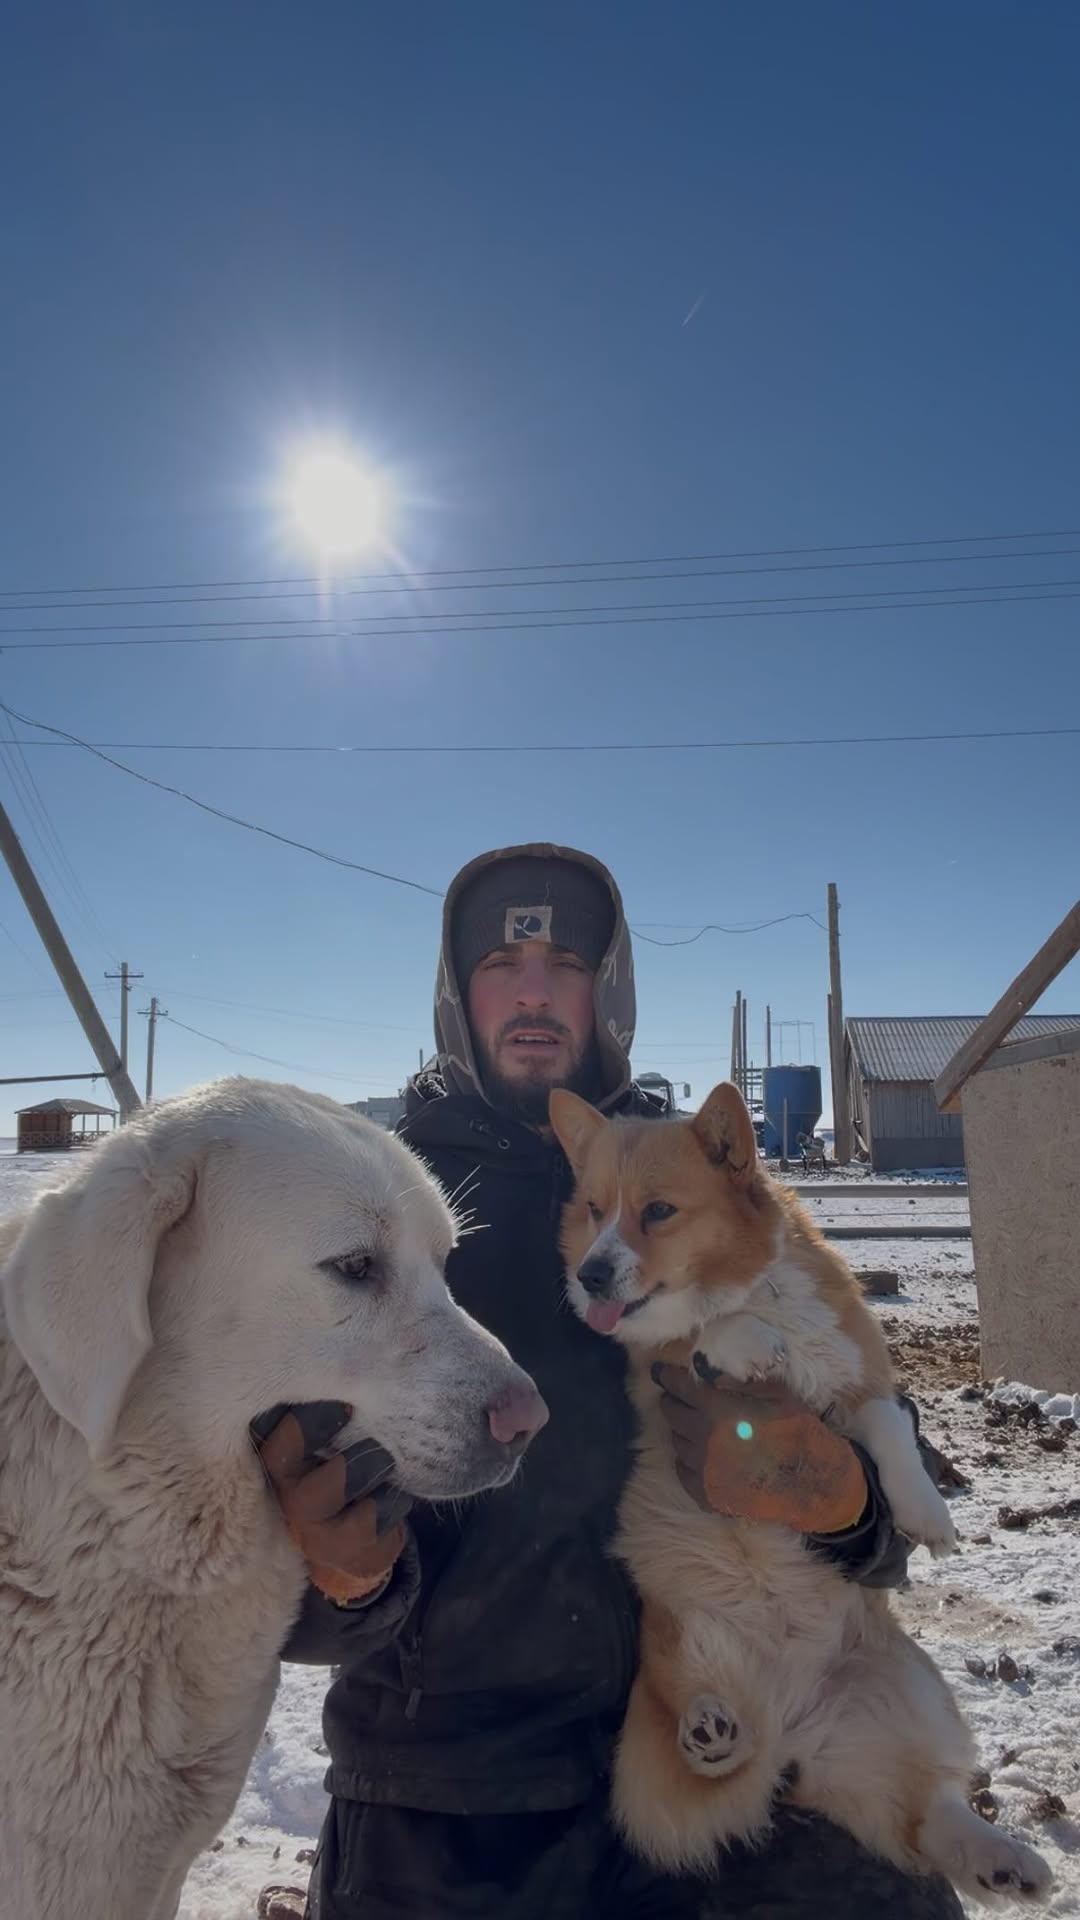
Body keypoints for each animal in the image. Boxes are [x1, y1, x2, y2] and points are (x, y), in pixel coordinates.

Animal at [550, 1081, 1050, 1905]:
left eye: (658, 1210)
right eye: (594, 1209)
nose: (589, 1276)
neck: (756, 1288)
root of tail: (793, 1732)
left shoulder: (860, 1380)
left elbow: (887, 1429)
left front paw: (927, 1514)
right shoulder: (655, 1378)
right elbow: (697, 1338)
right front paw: (743, 1341)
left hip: (916, 1690)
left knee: (930, 1809)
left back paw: (1001, 1857)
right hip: (662, 1711)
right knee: (712, 1757)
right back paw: (712, 1732)